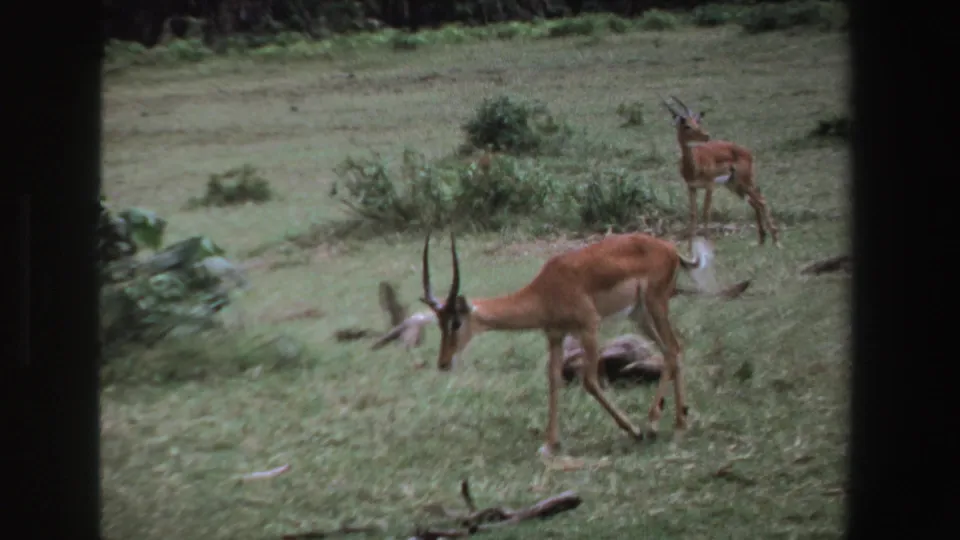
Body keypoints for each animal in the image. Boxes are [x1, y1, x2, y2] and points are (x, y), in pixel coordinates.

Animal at [386, 230, 722, 457]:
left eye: (455, 322)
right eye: (439, 323)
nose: (443, 362)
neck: (546, 289)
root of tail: (671, 250)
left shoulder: (589, 327)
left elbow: (589, 381)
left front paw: (633, 430)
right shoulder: (555, 336)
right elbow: (553, 381)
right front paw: (550, 444)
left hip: (655, 305)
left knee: (673, 349)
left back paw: (654, 425)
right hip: (640, 314)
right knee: (672, 351)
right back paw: (677, 423)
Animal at [661, 95, 780, 249]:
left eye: (697, 122)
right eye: (687, 125)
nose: (706, 135)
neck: (694, 166)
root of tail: (748, 152)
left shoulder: (710, 185)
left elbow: (706, 212)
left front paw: (708, 243)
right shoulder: (692, 187)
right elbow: (693, 214)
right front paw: (690, 248)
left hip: (744, 181)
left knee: (762, 200)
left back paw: (776, 241)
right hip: (734, 185)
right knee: (755, 202)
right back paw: (762, 240)